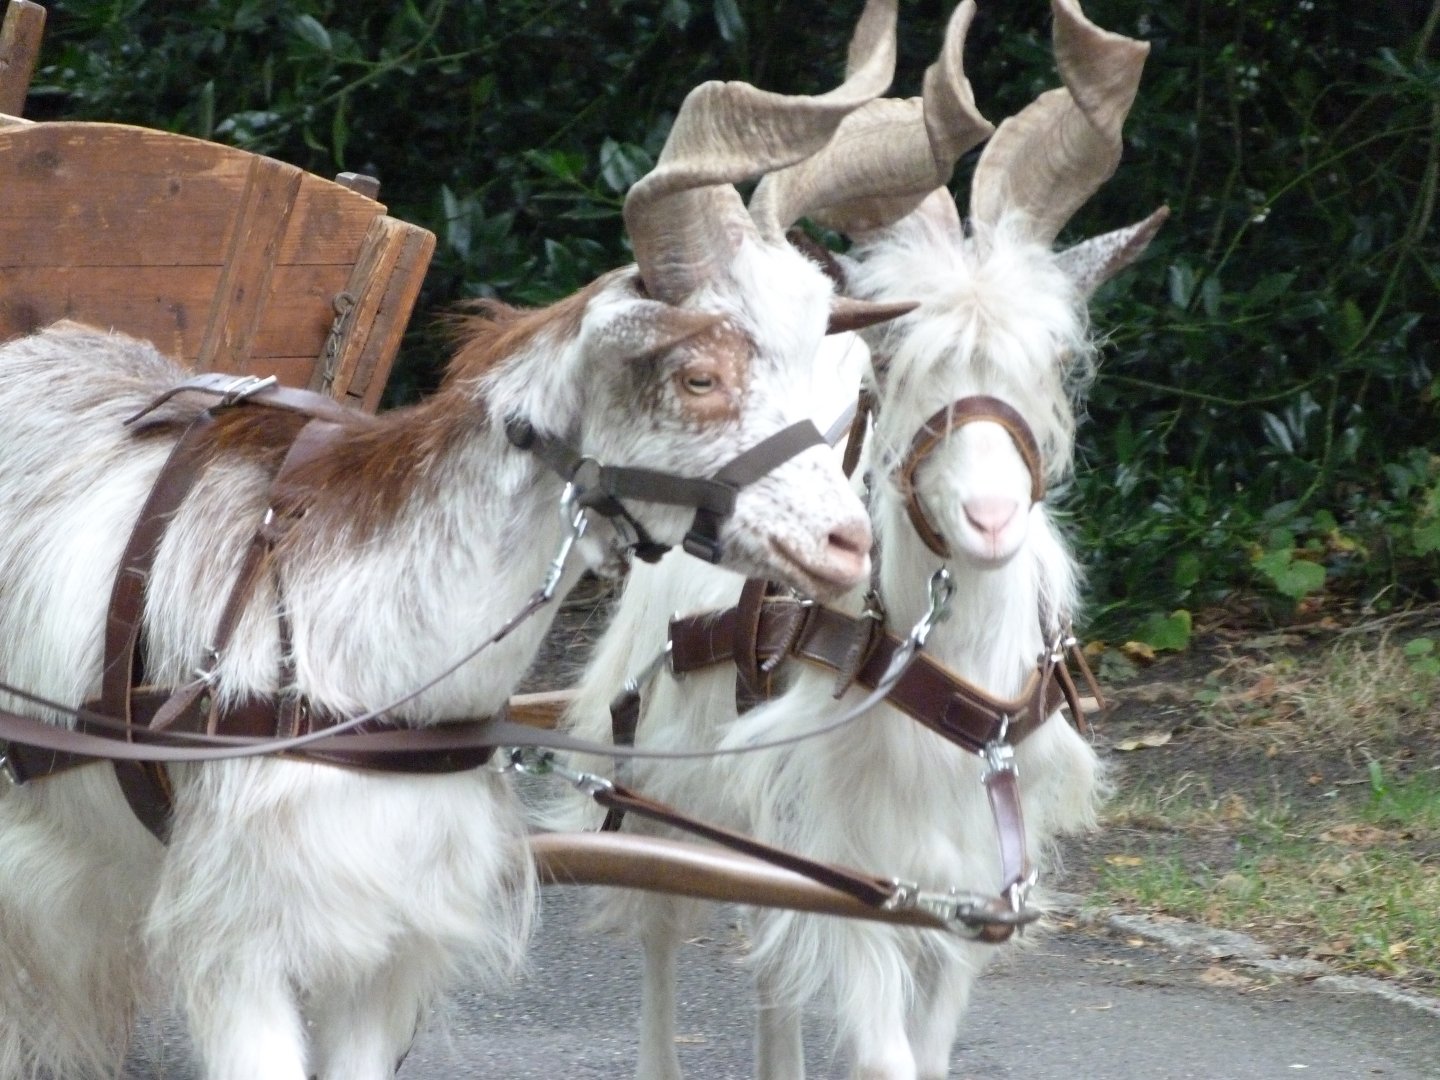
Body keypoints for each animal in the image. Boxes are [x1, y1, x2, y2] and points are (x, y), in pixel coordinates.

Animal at [0, 4, 910, 1077]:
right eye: (698, 377)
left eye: (844, 376)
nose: (846, 542)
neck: (382, 661)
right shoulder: (241, 940)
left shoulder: (390, 943)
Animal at [551, 2, 1167, 1077]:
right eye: (896, 359)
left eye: (1056, 358)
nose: (991, 521)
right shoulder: (847, 872)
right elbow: (882, 1049)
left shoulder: (956, 889)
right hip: (659, 769)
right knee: (661, 926)